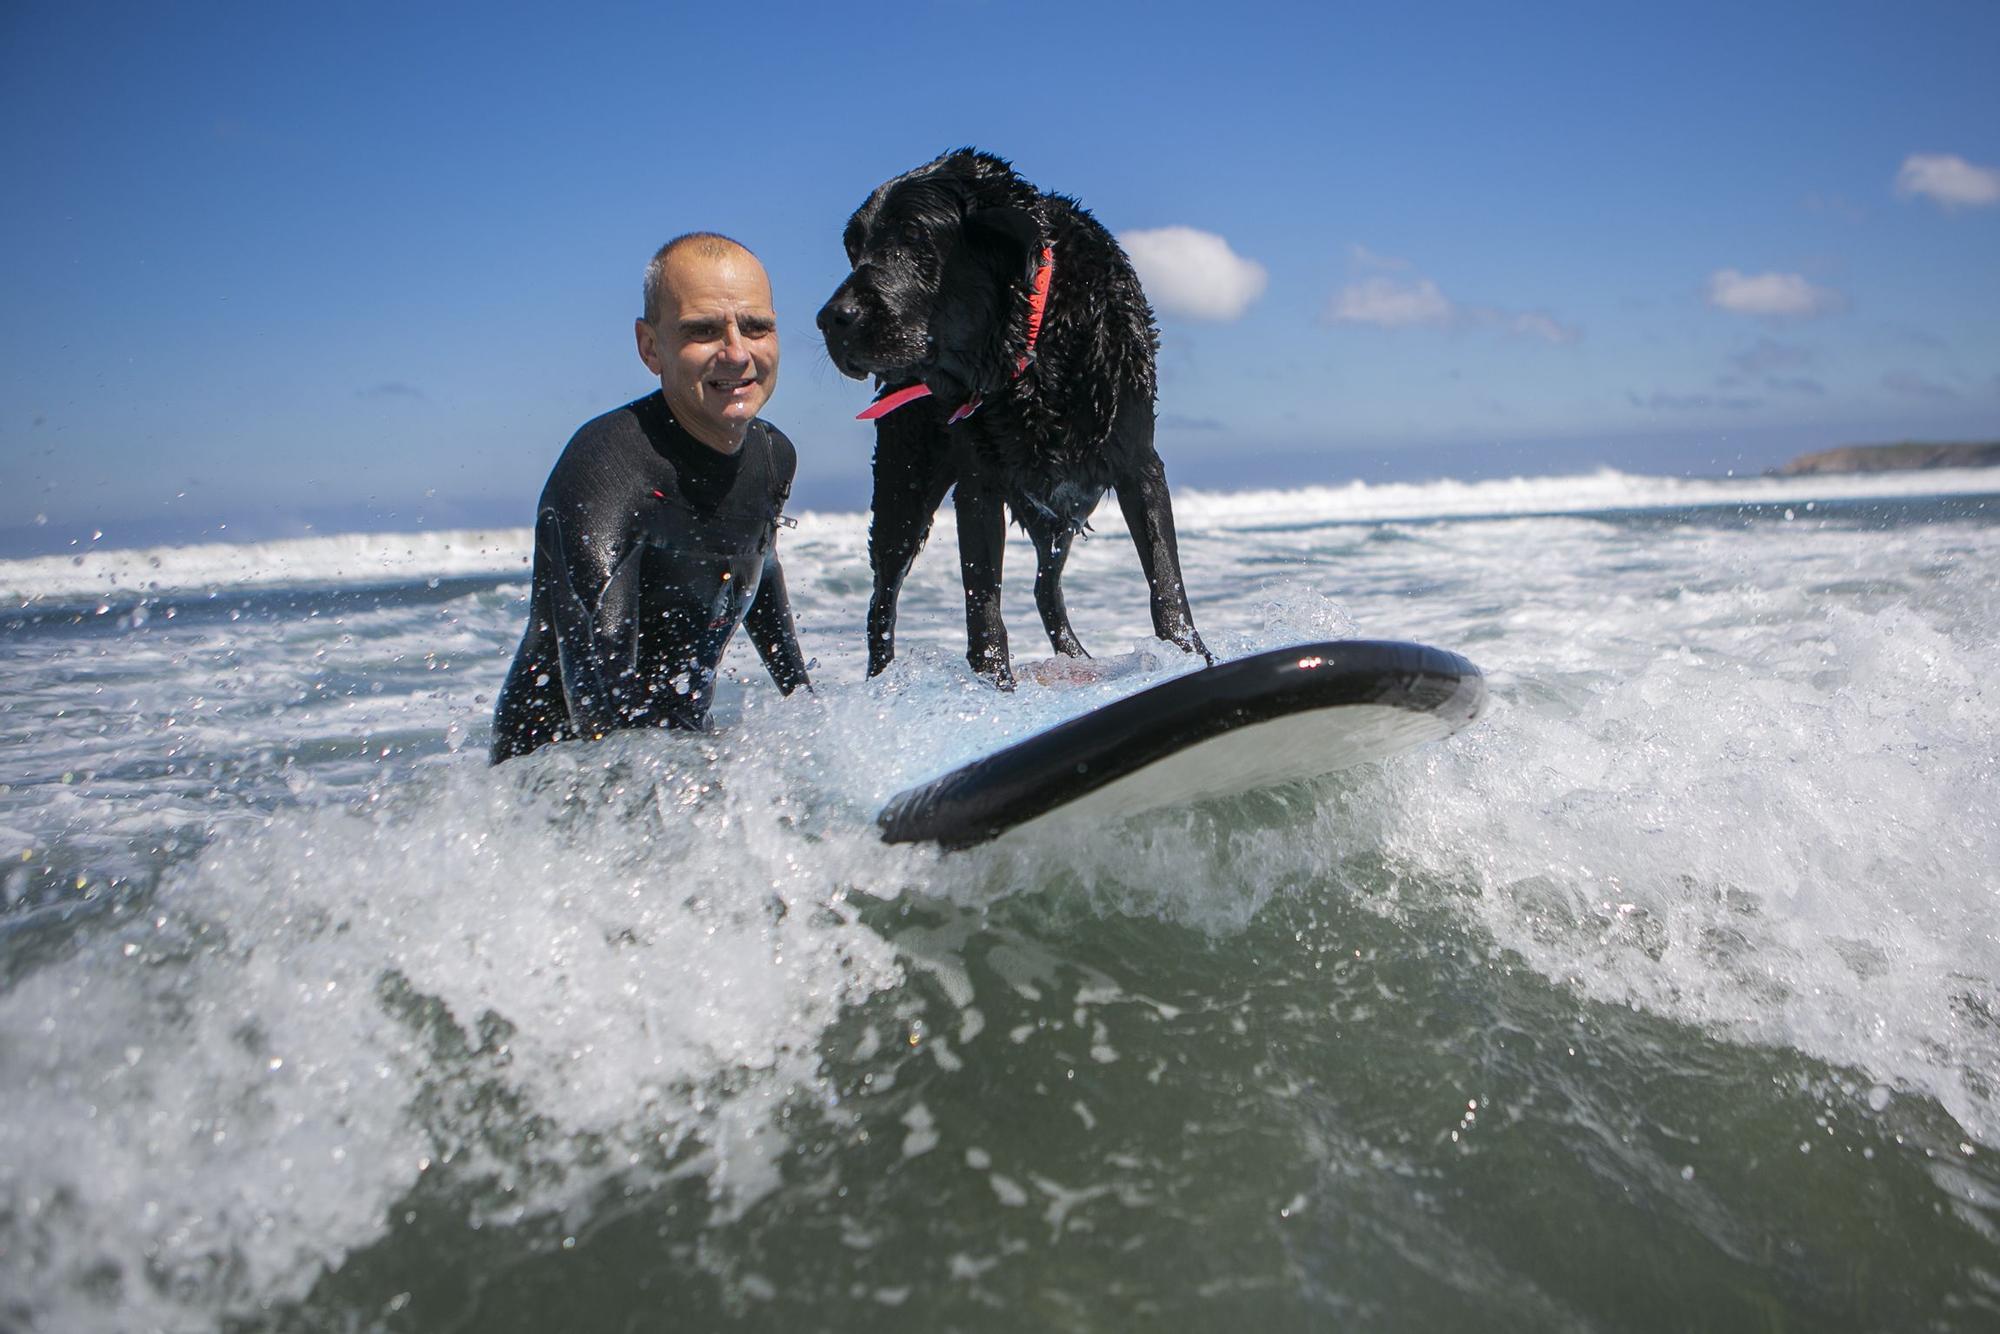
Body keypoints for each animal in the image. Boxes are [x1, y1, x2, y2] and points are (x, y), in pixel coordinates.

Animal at [816, 147, 1216, 688]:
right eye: (853, 248)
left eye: (913, 236)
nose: (830, 320)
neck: (1036, 347)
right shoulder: (978, 485)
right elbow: (982, 604)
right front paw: (994, 686)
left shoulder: (1139, 463)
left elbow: (1165, 581)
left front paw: (1192, 656)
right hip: (905, 490)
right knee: (883, 598)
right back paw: (882, 684)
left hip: (1061, 509)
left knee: (1045, 588)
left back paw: (1078, 659)